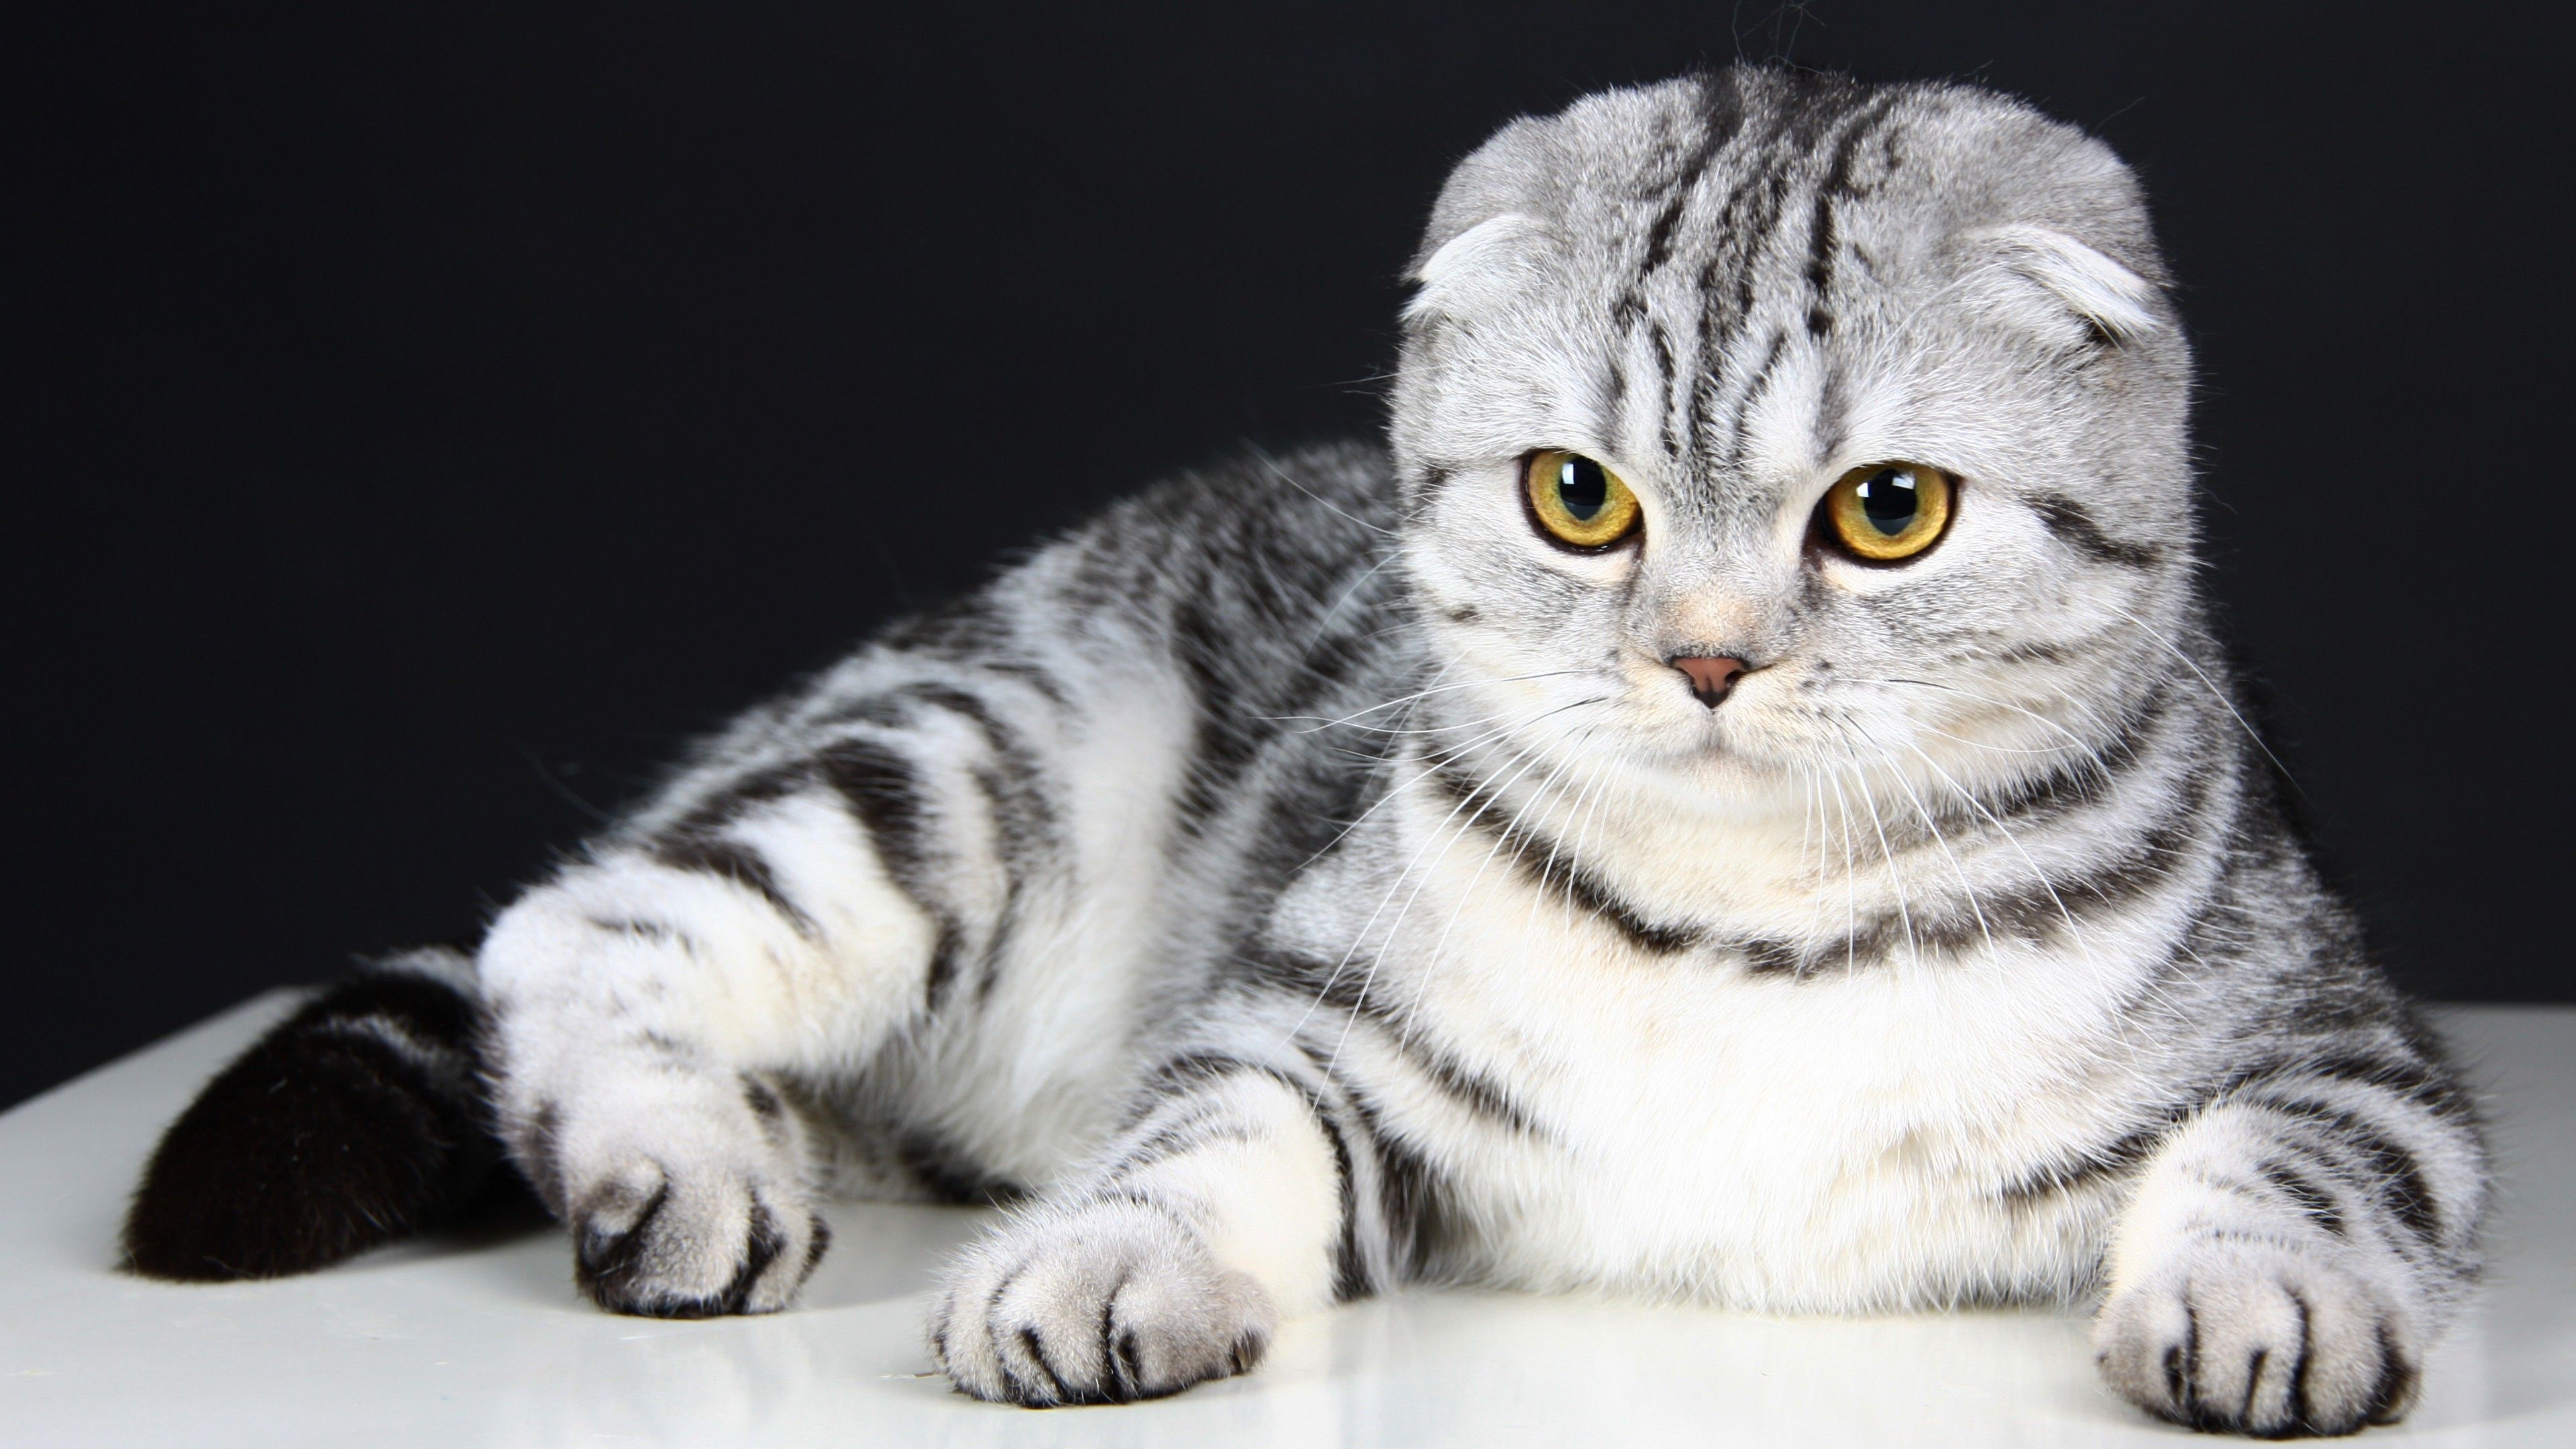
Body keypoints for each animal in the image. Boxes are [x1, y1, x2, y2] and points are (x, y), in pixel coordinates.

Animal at [121, 64, 2473, 1433]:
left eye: (1886, 513)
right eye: (1577, 499)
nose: (1706, 664)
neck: (1748, 942)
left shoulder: (2360, 1057)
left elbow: (2279, 1163)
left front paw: (2257, 1305)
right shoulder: (1310, 1032)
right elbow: (1200, 1137)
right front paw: (1097, 1266)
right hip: (958, 771)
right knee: (575, 928)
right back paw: (680, 1169)